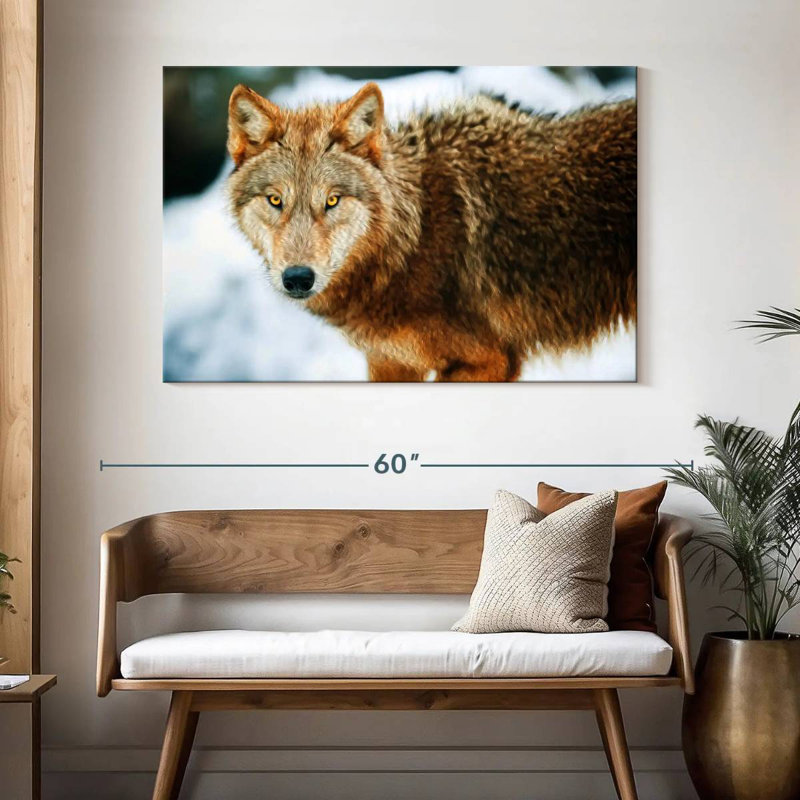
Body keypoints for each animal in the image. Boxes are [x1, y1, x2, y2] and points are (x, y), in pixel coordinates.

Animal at [226, 81, 636, 381]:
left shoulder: (491, 360)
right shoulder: (389, 363)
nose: (298, 278)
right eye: (275, 200)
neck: (413, 237)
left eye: (332, 200)